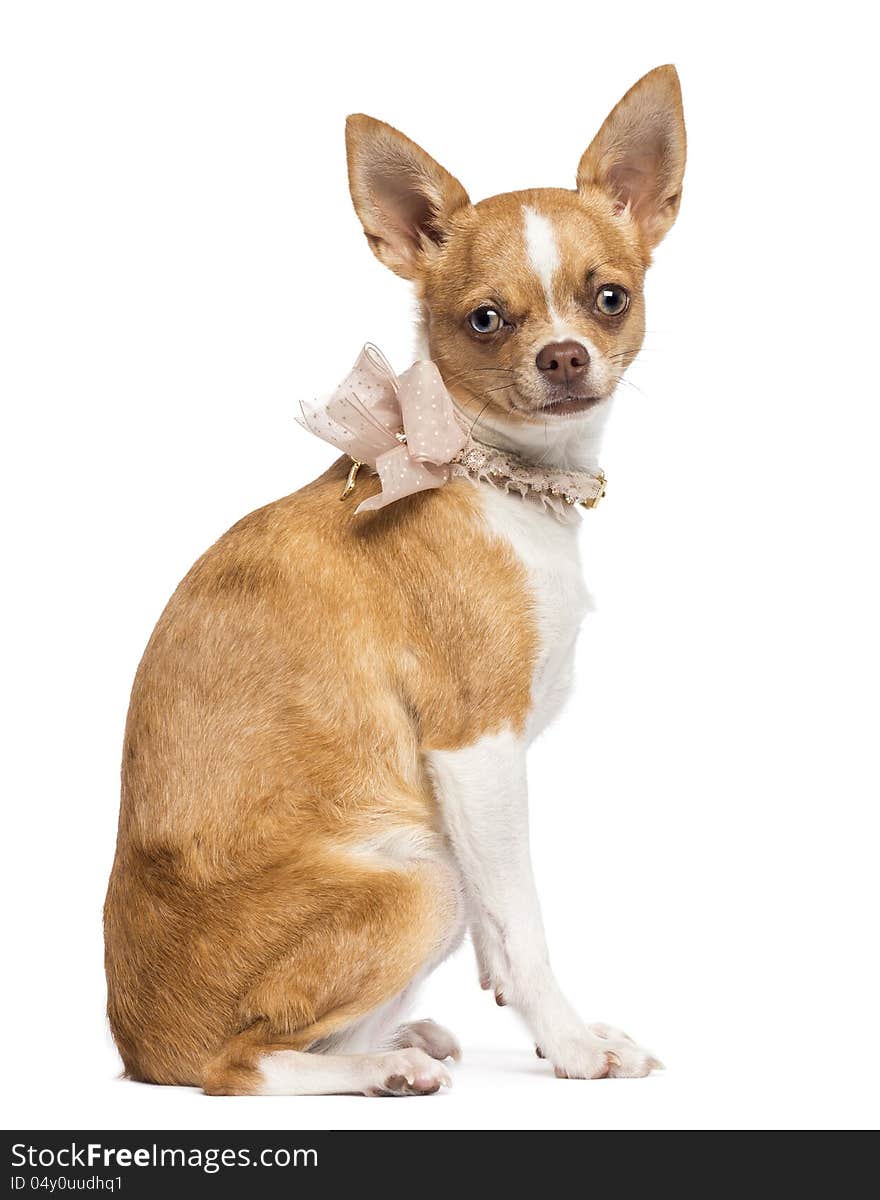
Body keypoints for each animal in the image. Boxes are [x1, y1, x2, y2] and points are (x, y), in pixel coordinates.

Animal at [104, 68, 686, 1099]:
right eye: (485, 320)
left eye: (610, 298)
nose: (564, 356)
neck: (495, 475)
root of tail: (139, 1054)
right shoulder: (476, 744)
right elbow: (521, 914)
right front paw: (570, 1043)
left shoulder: (474, 782)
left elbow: (502, 924)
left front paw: (540, 1026)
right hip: (419, 877)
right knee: (238, 1066)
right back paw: (381, 1071)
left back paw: (397, 1040)